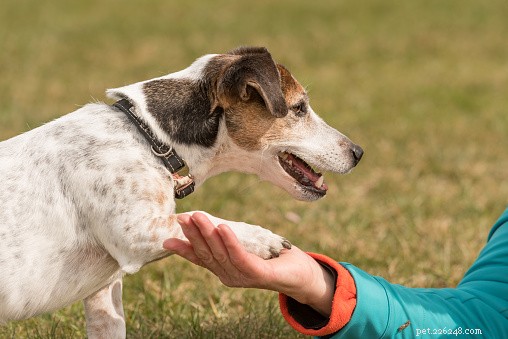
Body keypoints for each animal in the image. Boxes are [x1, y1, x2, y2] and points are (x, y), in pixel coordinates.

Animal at [0, 46, 364, 338]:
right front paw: (262, 238)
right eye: (299, 108)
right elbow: (203, 216)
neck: (151, 139)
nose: (358, 152)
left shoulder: (104, 296)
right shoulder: (137, 233)